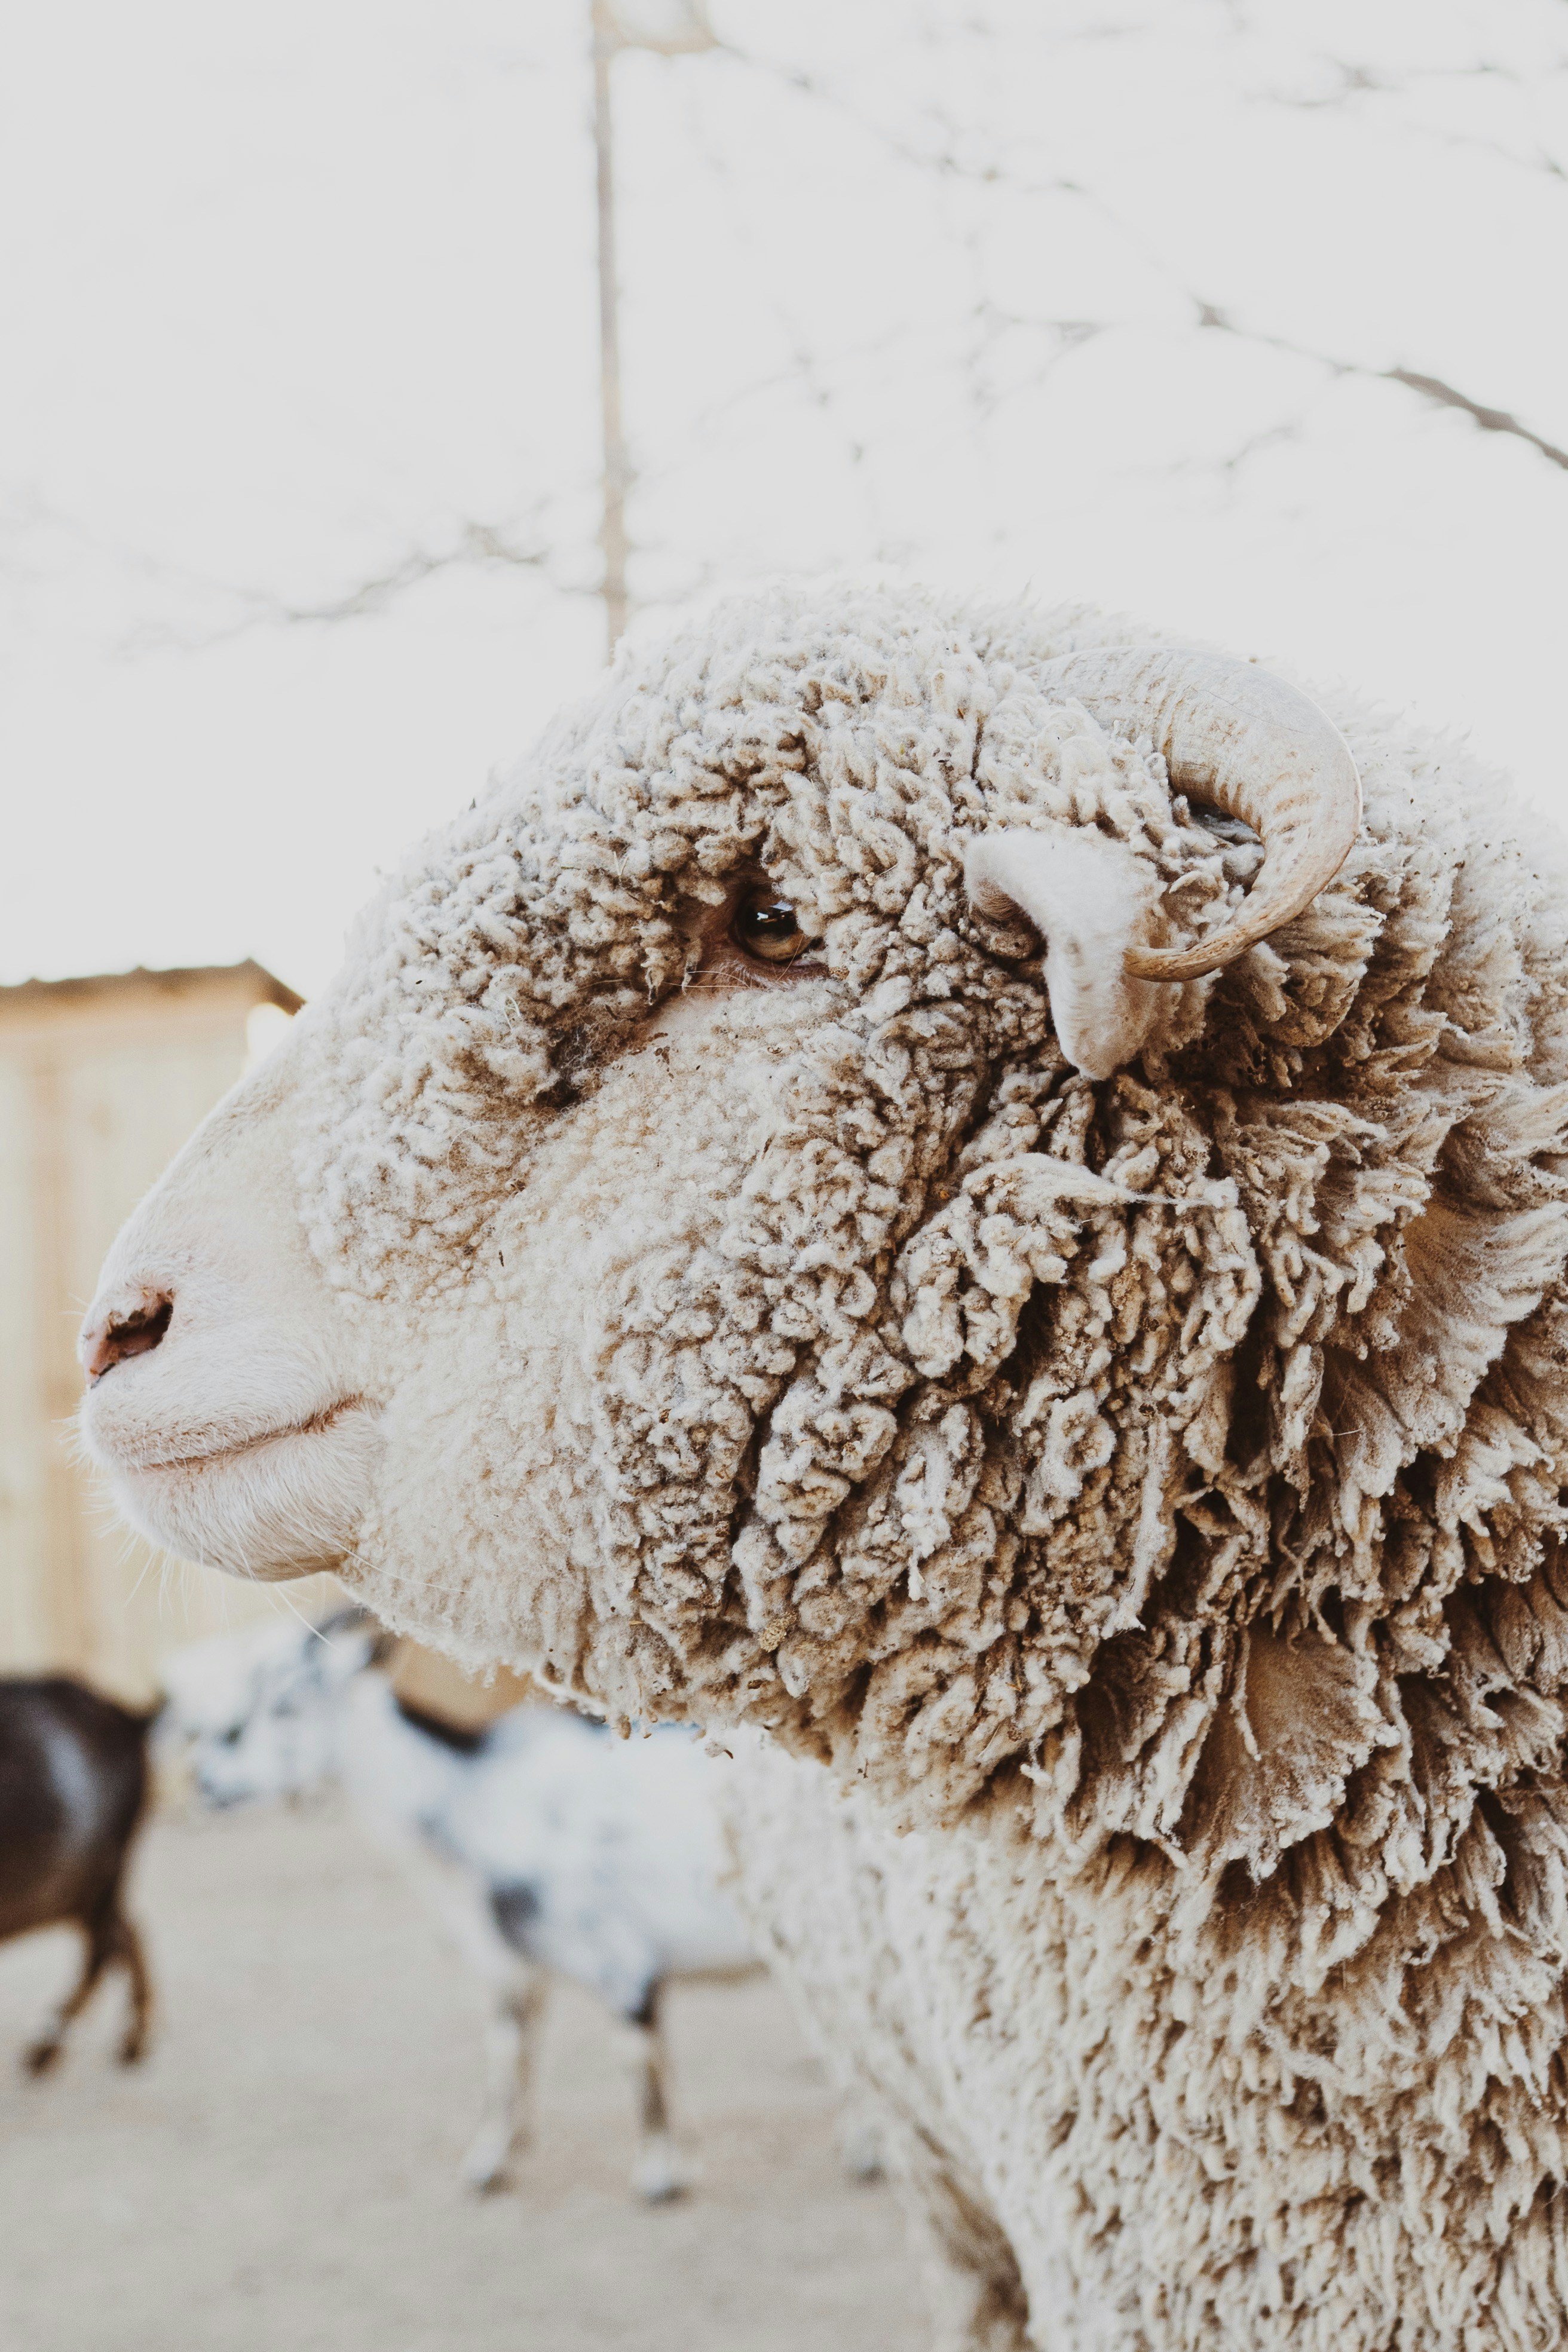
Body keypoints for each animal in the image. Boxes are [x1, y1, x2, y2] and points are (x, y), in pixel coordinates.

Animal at [160, 1611, 758, 2200]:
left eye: (283, 1704)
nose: (203, 1778)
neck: (475, 1796)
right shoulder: (513, 1969)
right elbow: (508, 2055)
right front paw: (491, 2163)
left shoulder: (619, 1962)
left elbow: (636, 2061)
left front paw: (659, 2174)